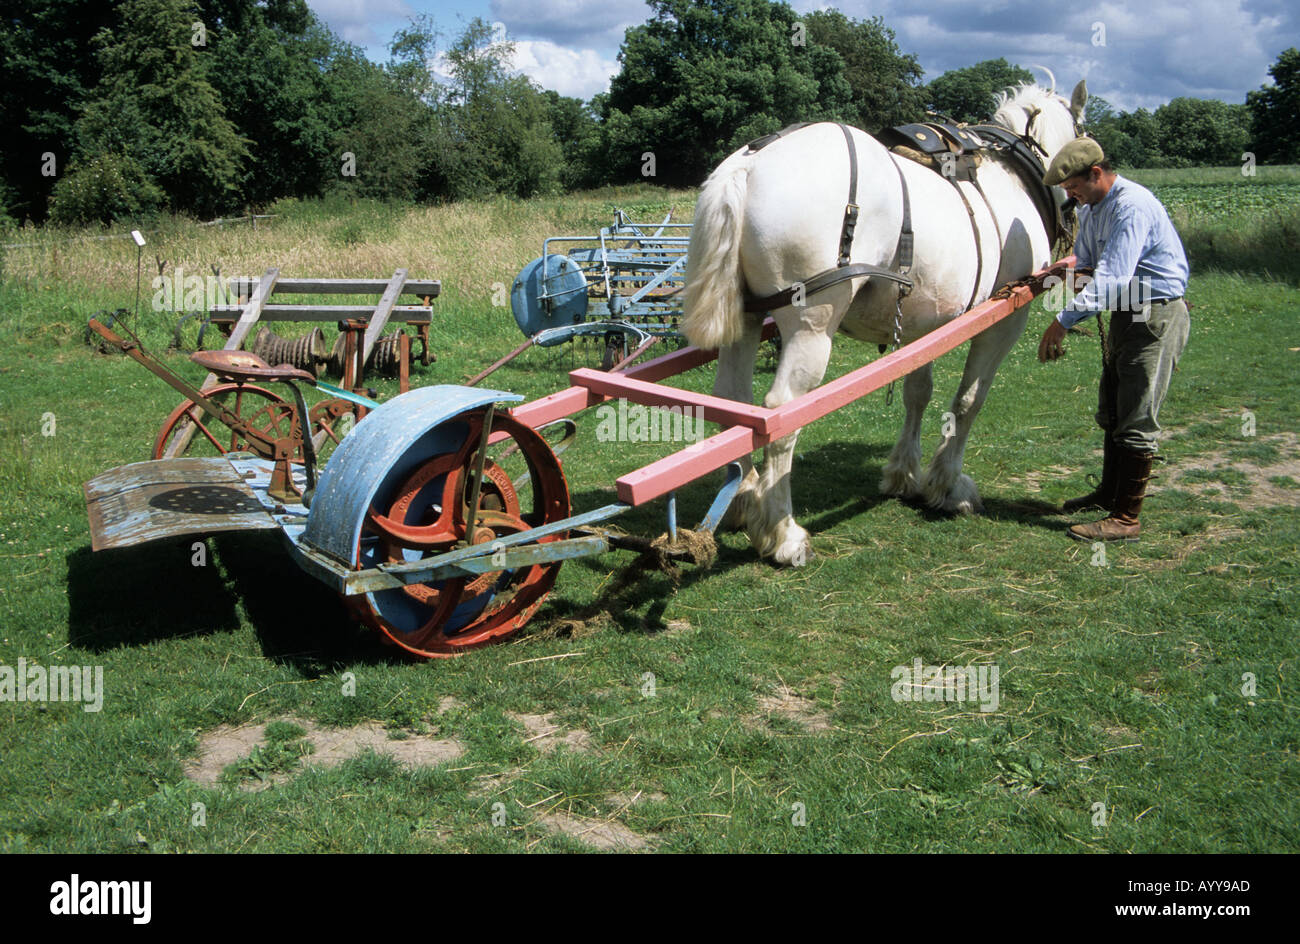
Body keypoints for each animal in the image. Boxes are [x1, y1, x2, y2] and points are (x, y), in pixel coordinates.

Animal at [681, 79, 1087, 566]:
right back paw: (783, 533)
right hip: (811, 327)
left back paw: (744, 499)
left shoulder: (924, 324)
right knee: (781, 414)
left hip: (747, 316)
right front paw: (949, 487)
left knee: (733, 402)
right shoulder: (1006, 316)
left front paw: (904, 475)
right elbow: (969, 401)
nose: (1074, 216)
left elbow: (918, 394)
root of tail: (749, 164)